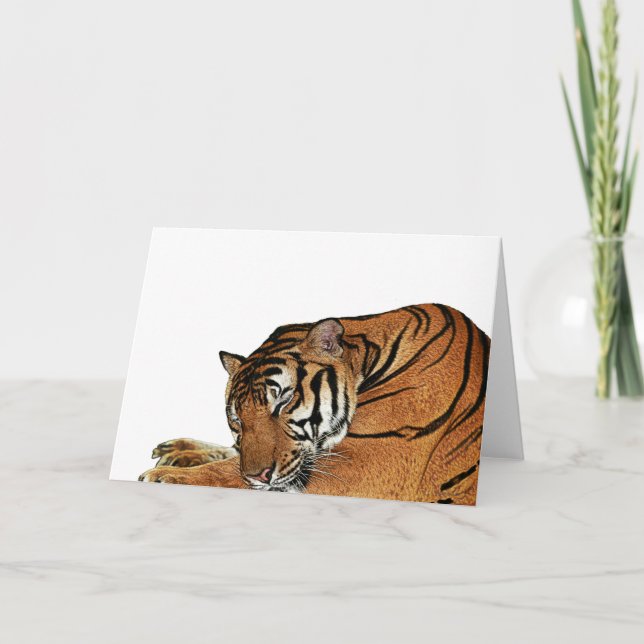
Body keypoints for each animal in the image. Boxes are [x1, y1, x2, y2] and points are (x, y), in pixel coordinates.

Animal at [139, 303, 490, 505]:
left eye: (283, 402)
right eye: (237, 419)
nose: (258, 476)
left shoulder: (360, 465)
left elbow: (228, 470)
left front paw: (165, 476)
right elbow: (233, 454)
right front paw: (179, 451)